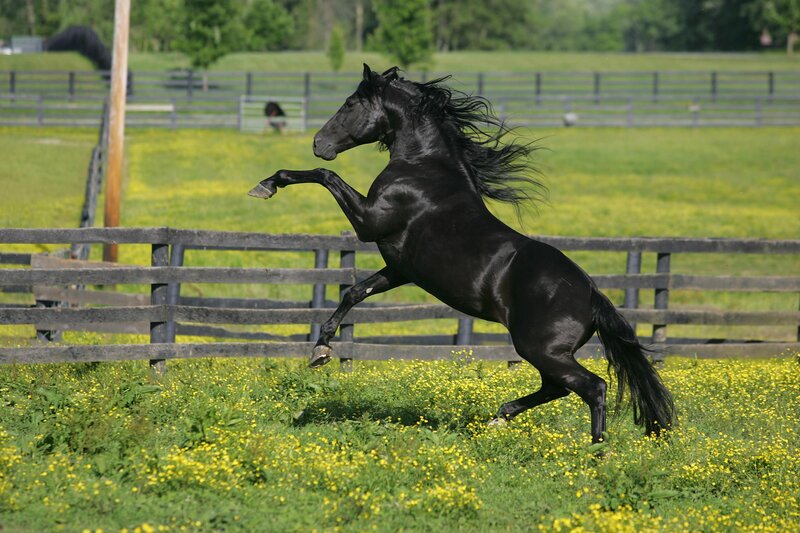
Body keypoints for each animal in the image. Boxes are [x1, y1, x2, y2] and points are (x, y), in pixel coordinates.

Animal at [249, 65, 675, 443]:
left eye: (351, 102)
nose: (318, 144)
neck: (423, 168)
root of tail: (591, 294)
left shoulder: (369, 222)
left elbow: (326, 177)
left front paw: (267, 184)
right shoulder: (399, 268)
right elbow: (354, 292)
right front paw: (320, 348)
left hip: (541, 349)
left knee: (592, 387)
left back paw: (596, 453)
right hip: (545, 352)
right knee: (557, 388)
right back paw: (500, 417)